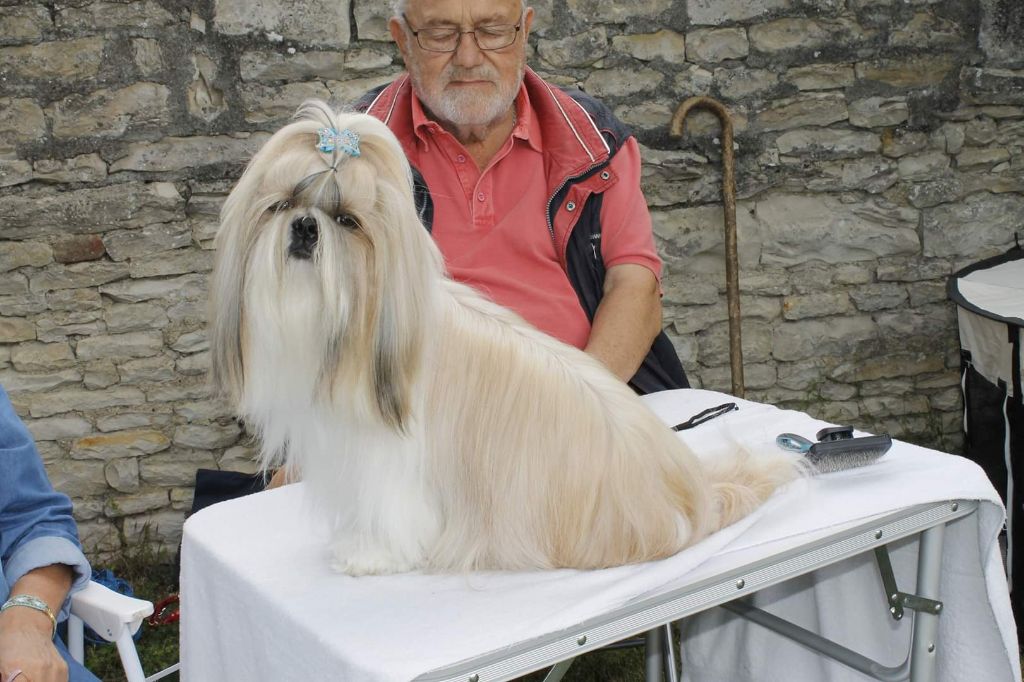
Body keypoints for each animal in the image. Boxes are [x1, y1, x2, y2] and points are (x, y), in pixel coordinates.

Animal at [207, 99, 798, 573]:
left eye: (347, 220)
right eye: (282, 205)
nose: (306, 227)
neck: (362, 326)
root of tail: (693, 498)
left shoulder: (390, 459)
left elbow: (391, 514)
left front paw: (369, 556)